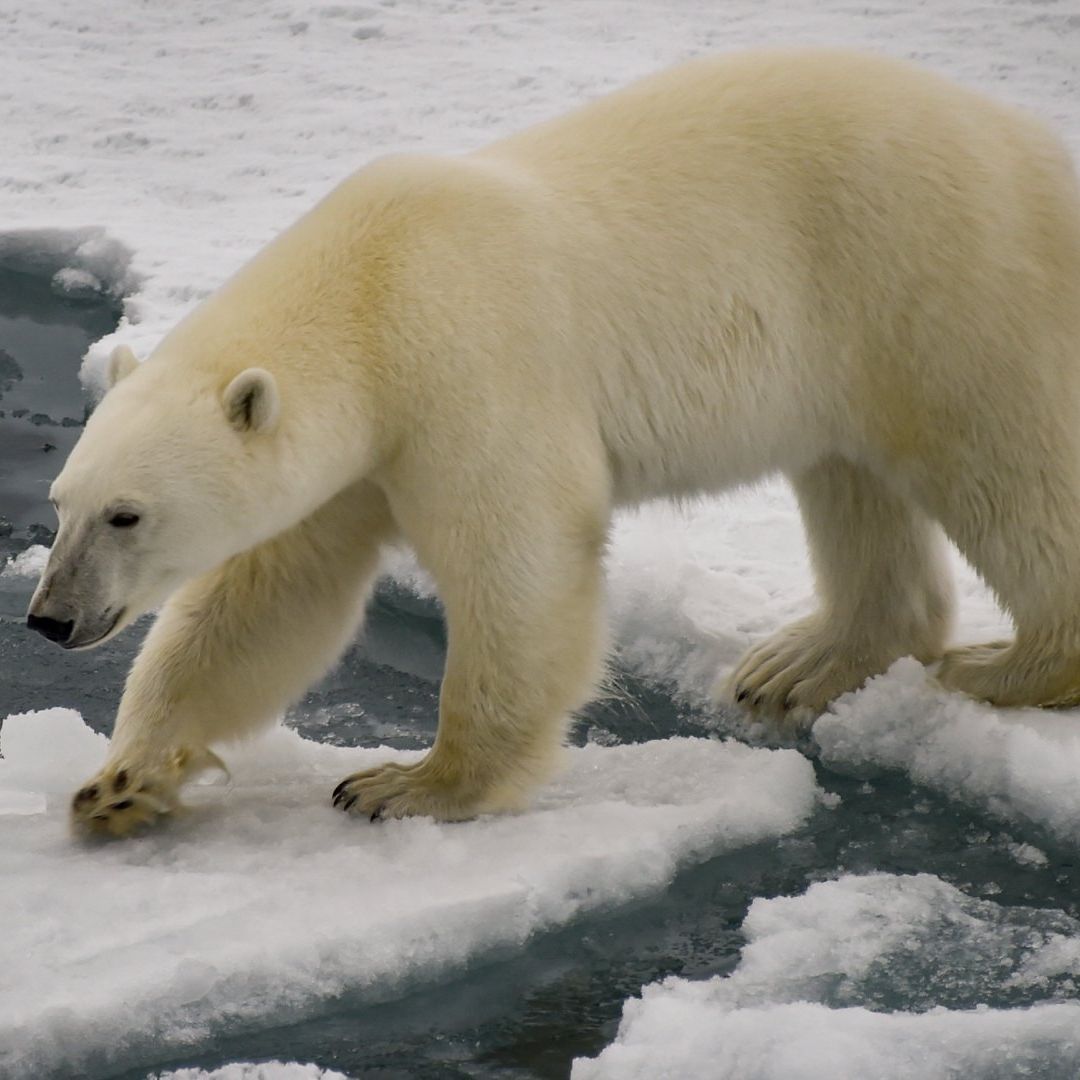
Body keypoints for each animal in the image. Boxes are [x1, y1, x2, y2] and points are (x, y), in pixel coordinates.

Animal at [26, 48, 1080, 838]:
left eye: (127, 515)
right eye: (62, 504)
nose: (48, 618)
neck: (371, 288)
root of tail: (1041, 154)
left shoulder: (470, 371)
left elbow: (519, 564)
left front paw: (406, 784)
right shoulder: (355, 455)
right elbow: (267, 600)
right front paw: (121, 782)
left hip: (933, 275)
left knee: (1005, 463)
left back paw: (1004, 665)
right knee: (853, 481)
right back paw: (798, 666)